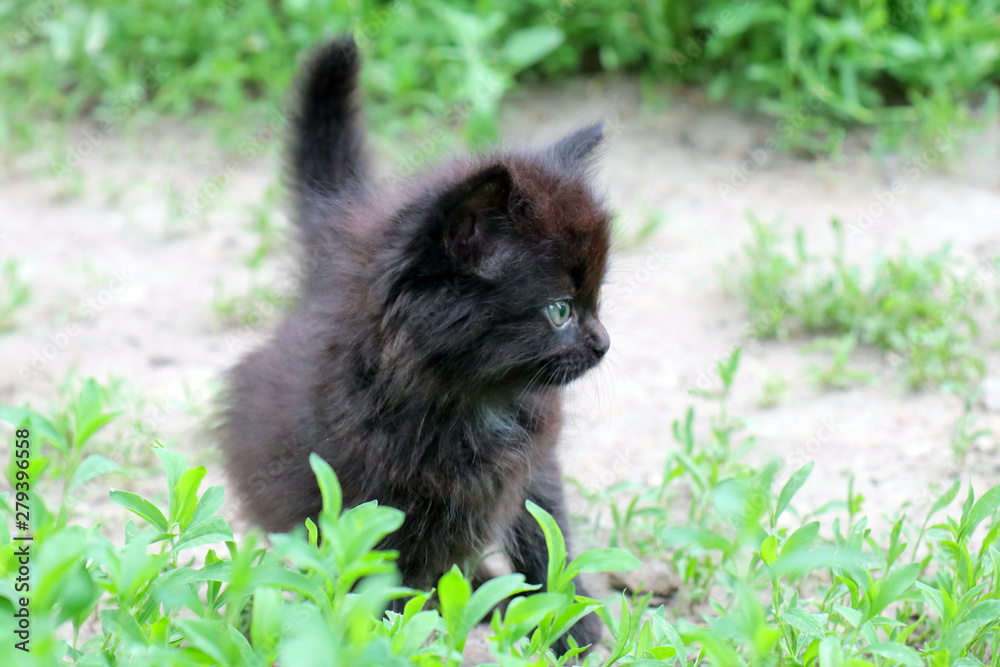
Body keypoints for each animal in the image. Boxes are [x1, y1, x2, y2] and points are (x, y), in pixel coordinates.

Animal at [219, 35, 608, 652]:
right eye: (559, 310)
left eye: (597, 299)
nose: (603, 343)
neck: (478, 399)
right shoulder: (371, 492)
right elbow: (381, 576)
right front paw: (393, 639)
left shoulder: (534, 465)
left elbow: (548, 537)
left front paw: (570, 624)